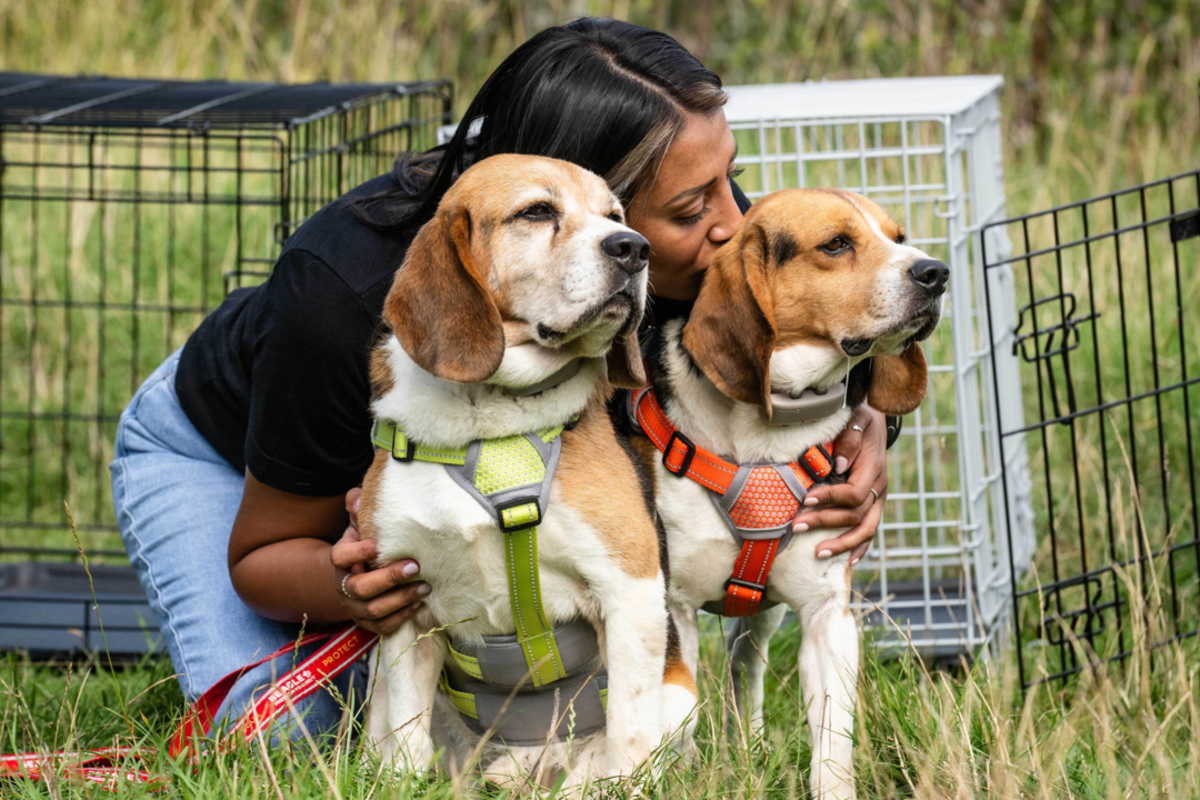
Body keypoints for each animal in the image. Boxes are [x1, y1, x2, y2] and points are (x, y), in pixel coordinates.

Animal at [360, 151, 691, 786]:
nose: (634, 248)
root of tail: (529, 763)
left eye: (615, 216)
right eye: (537, 212)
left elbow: (629, 732)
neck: (490, 426)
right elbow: (407, 741)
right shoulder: (409, 611)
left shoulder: (631, 589)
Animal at [628, 189, 945, 800]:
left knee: (742, 664)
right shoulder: (674, 608)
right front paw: (682, 774)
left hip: (763, 611)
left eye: (898, 236)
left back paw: (749, 750)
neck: (767, 437)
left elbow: (833, 743)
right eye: (837, 244)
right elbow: (680, 719)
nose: (936, 273)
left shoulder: (827, 614)